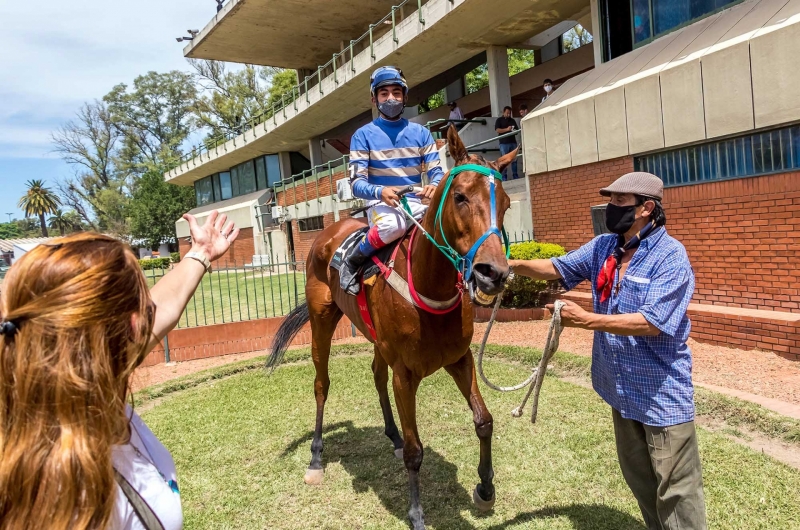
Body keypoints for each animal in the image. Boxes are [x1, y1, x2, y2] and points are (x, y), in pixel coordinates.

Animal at [268, 126, 516, 524]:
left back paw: (392, 435)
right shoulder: (406, 373)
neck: (429, 288)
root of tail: (331, 230)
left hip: (377, 339)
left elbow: (484, 420)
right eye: (460, 196)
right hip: (322, 322)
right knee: (321, 384)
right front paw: (416, 513)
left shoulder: (459, 360)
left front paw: (485, 489)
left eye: (506, 203)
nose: (493, 273)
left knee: (375, 373)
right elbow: (417, 450)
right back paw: (317, 457)